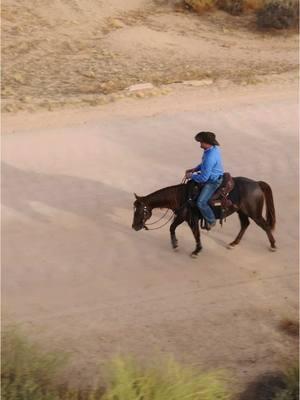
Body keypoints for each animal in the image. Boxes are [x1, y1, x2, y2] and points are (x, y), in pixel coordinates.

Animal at [131, 177, 276, 258]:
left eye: (141, 211)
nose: (134, 227)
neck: (182, 196)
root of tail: (257, 183)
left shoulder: (185, 217)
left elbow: (182, 230)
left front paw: (187, 248)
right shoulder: (188, 218)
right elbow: (188, 232)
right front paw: (189, 248)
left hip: (254, 213)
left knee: (265, 225)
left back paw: (273, 245)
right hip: (242, 212)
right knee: (245, 224)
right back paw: (233, 243)